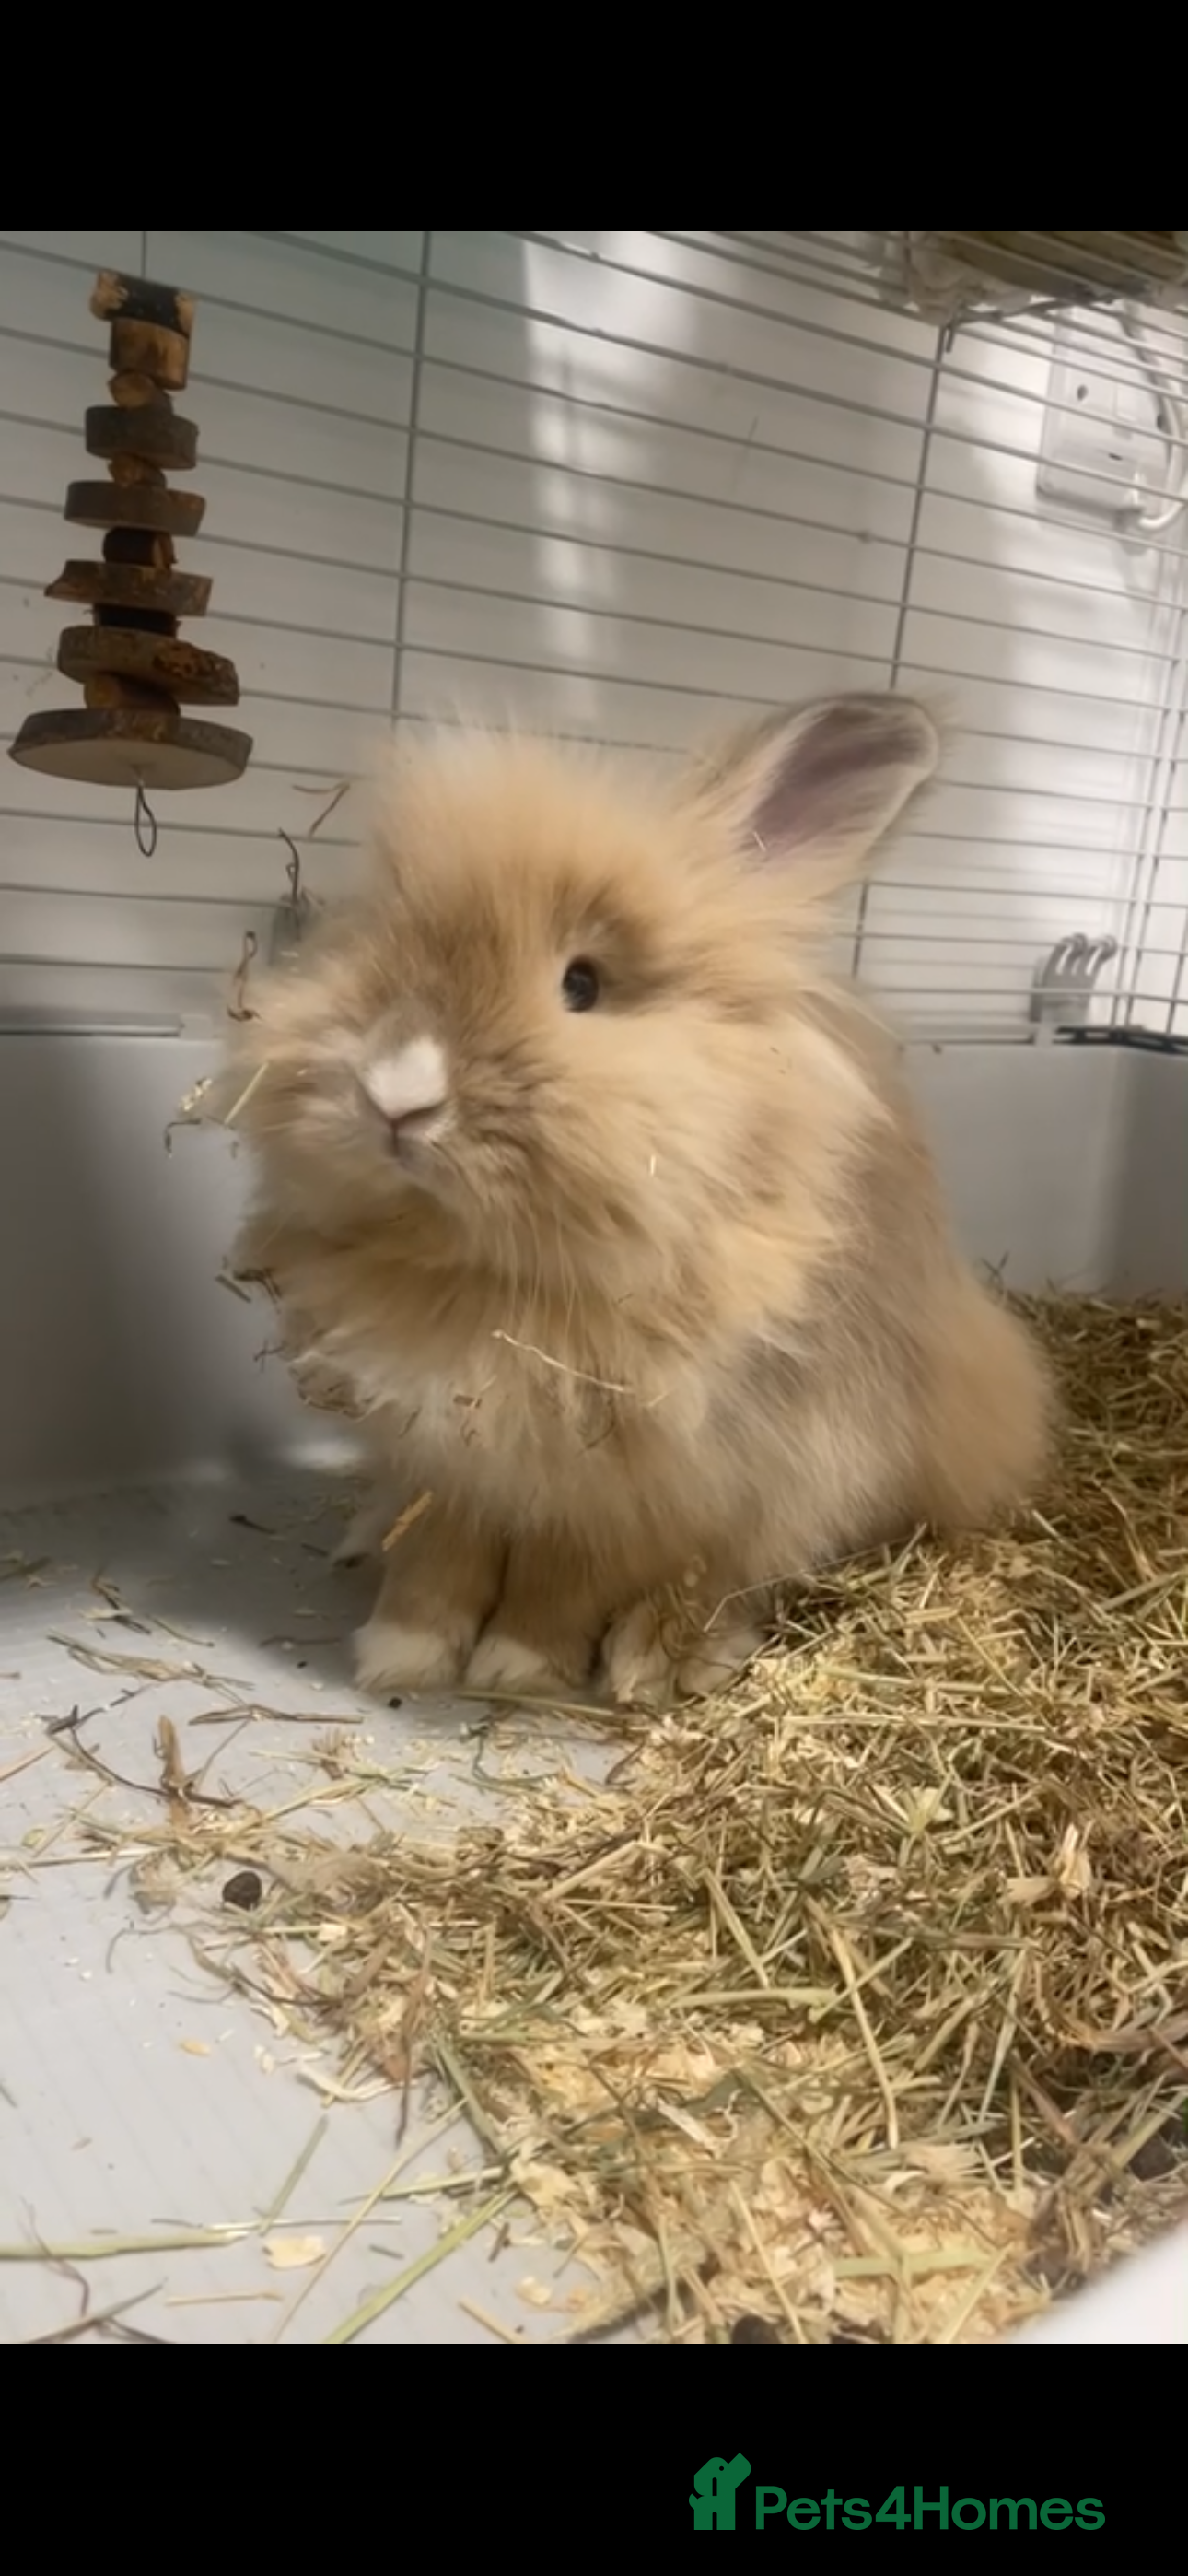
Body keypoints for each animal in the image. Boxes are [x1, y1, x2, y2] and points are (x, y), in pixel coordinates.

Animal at [222, 695, 1053, 1709]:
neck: (491, 1279)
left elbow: (565, 1582)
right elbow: (436, 1558)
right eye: (379, 936)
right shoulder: (443, 1464)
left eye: (583, 984)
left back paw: (665, 1658)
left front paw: (521, 1665)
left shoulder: (633, 1489)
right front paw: (404, 1654)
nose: (396, 1094)